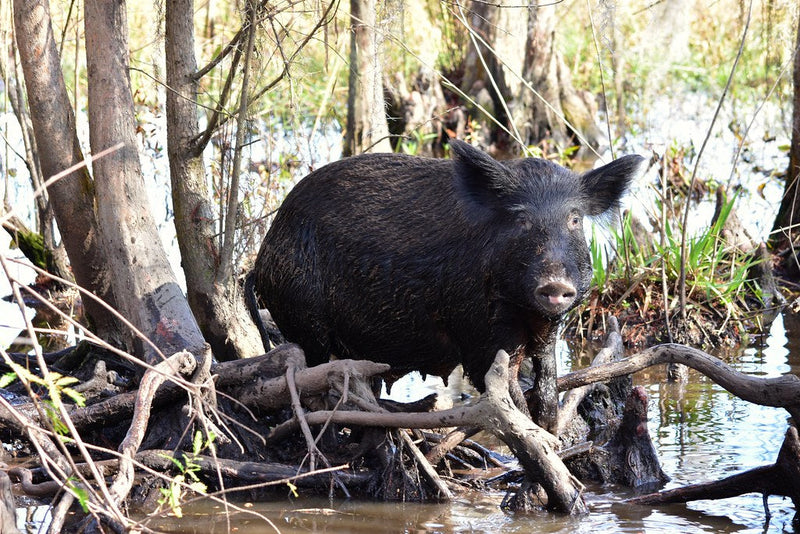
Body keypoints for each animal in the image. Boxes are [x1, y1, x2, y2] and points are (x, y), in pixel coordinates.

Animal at [248, 139, 643, 431]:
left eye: (574, 219)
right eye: (521, 219)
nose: (554, 283)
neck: (523, 311)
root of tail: (263, 253)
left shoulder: (547, 330)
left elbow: (546, 383)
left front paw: (554, 432)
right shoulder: (476, 331)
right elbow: (509, 396)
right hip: (302, 314)